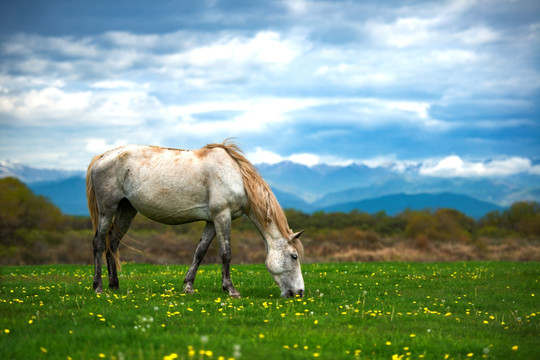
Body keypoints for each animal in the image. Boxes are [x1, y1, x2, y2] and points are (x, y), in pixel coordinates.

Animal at [84, 141, 304, 298]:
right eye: (294, 256)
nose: (300, 293)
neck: (235, 176)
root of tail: (101, 158)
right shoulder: (222, 216)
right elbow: (226, 254)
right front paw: (231, 289)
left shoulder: (212, 221)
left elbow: (200, 252)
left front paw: (188, 286)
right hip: (107, 209)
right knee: (98, 243)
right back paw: (98, 287)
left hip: (126, 210)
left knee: (113, 242)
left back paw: (115, 285)